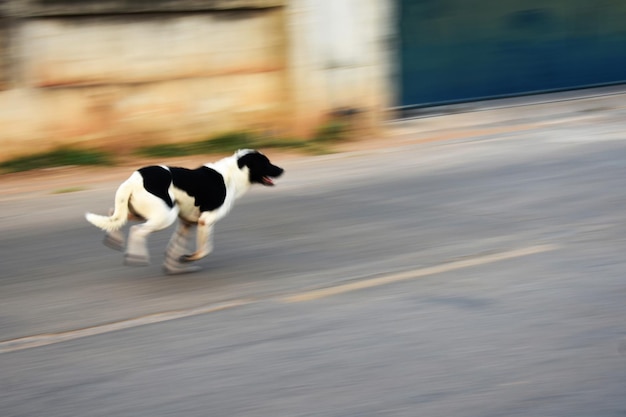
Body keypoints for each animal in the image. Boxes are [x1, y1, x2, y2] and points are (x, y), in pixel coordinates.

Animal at [84, 149, 282, 272]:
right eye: (266, 162)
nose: (281, 170)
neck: (234, 174)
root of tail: (134, 179)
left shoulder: (188, 224)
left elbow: (173, 250)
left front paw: (176, 268)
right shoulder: (205, 221)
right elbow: (206, 249)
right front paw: (189, 258)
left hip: (142, 212)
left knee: (115, 214)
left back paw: (114, 239)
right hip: (165, 216)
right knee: (137, 231)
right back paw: (136, 256)